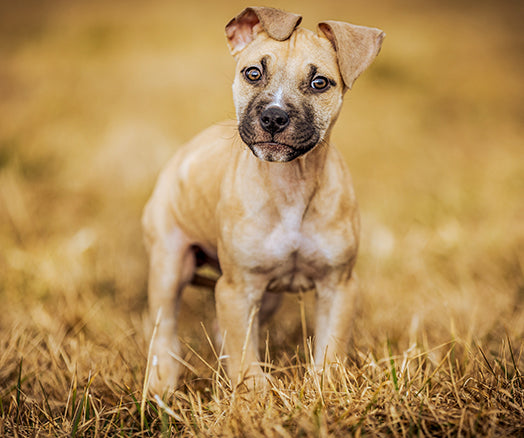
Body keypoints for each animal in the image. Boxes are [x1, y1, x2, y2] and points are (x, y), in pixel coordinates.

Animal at [143, 5, 384, 396]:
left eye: (320, 83)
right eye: (253, 73)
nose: (273, 116)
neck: (290, 185)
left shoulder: (338, 286)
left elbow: (330, 349)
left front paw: (323, 390)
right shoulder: (236, 289)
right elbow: (245, 358)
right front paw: (253, 397)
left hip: (265, 296)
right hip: (169, 263)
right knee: (163, 324)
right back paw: (161, 380)